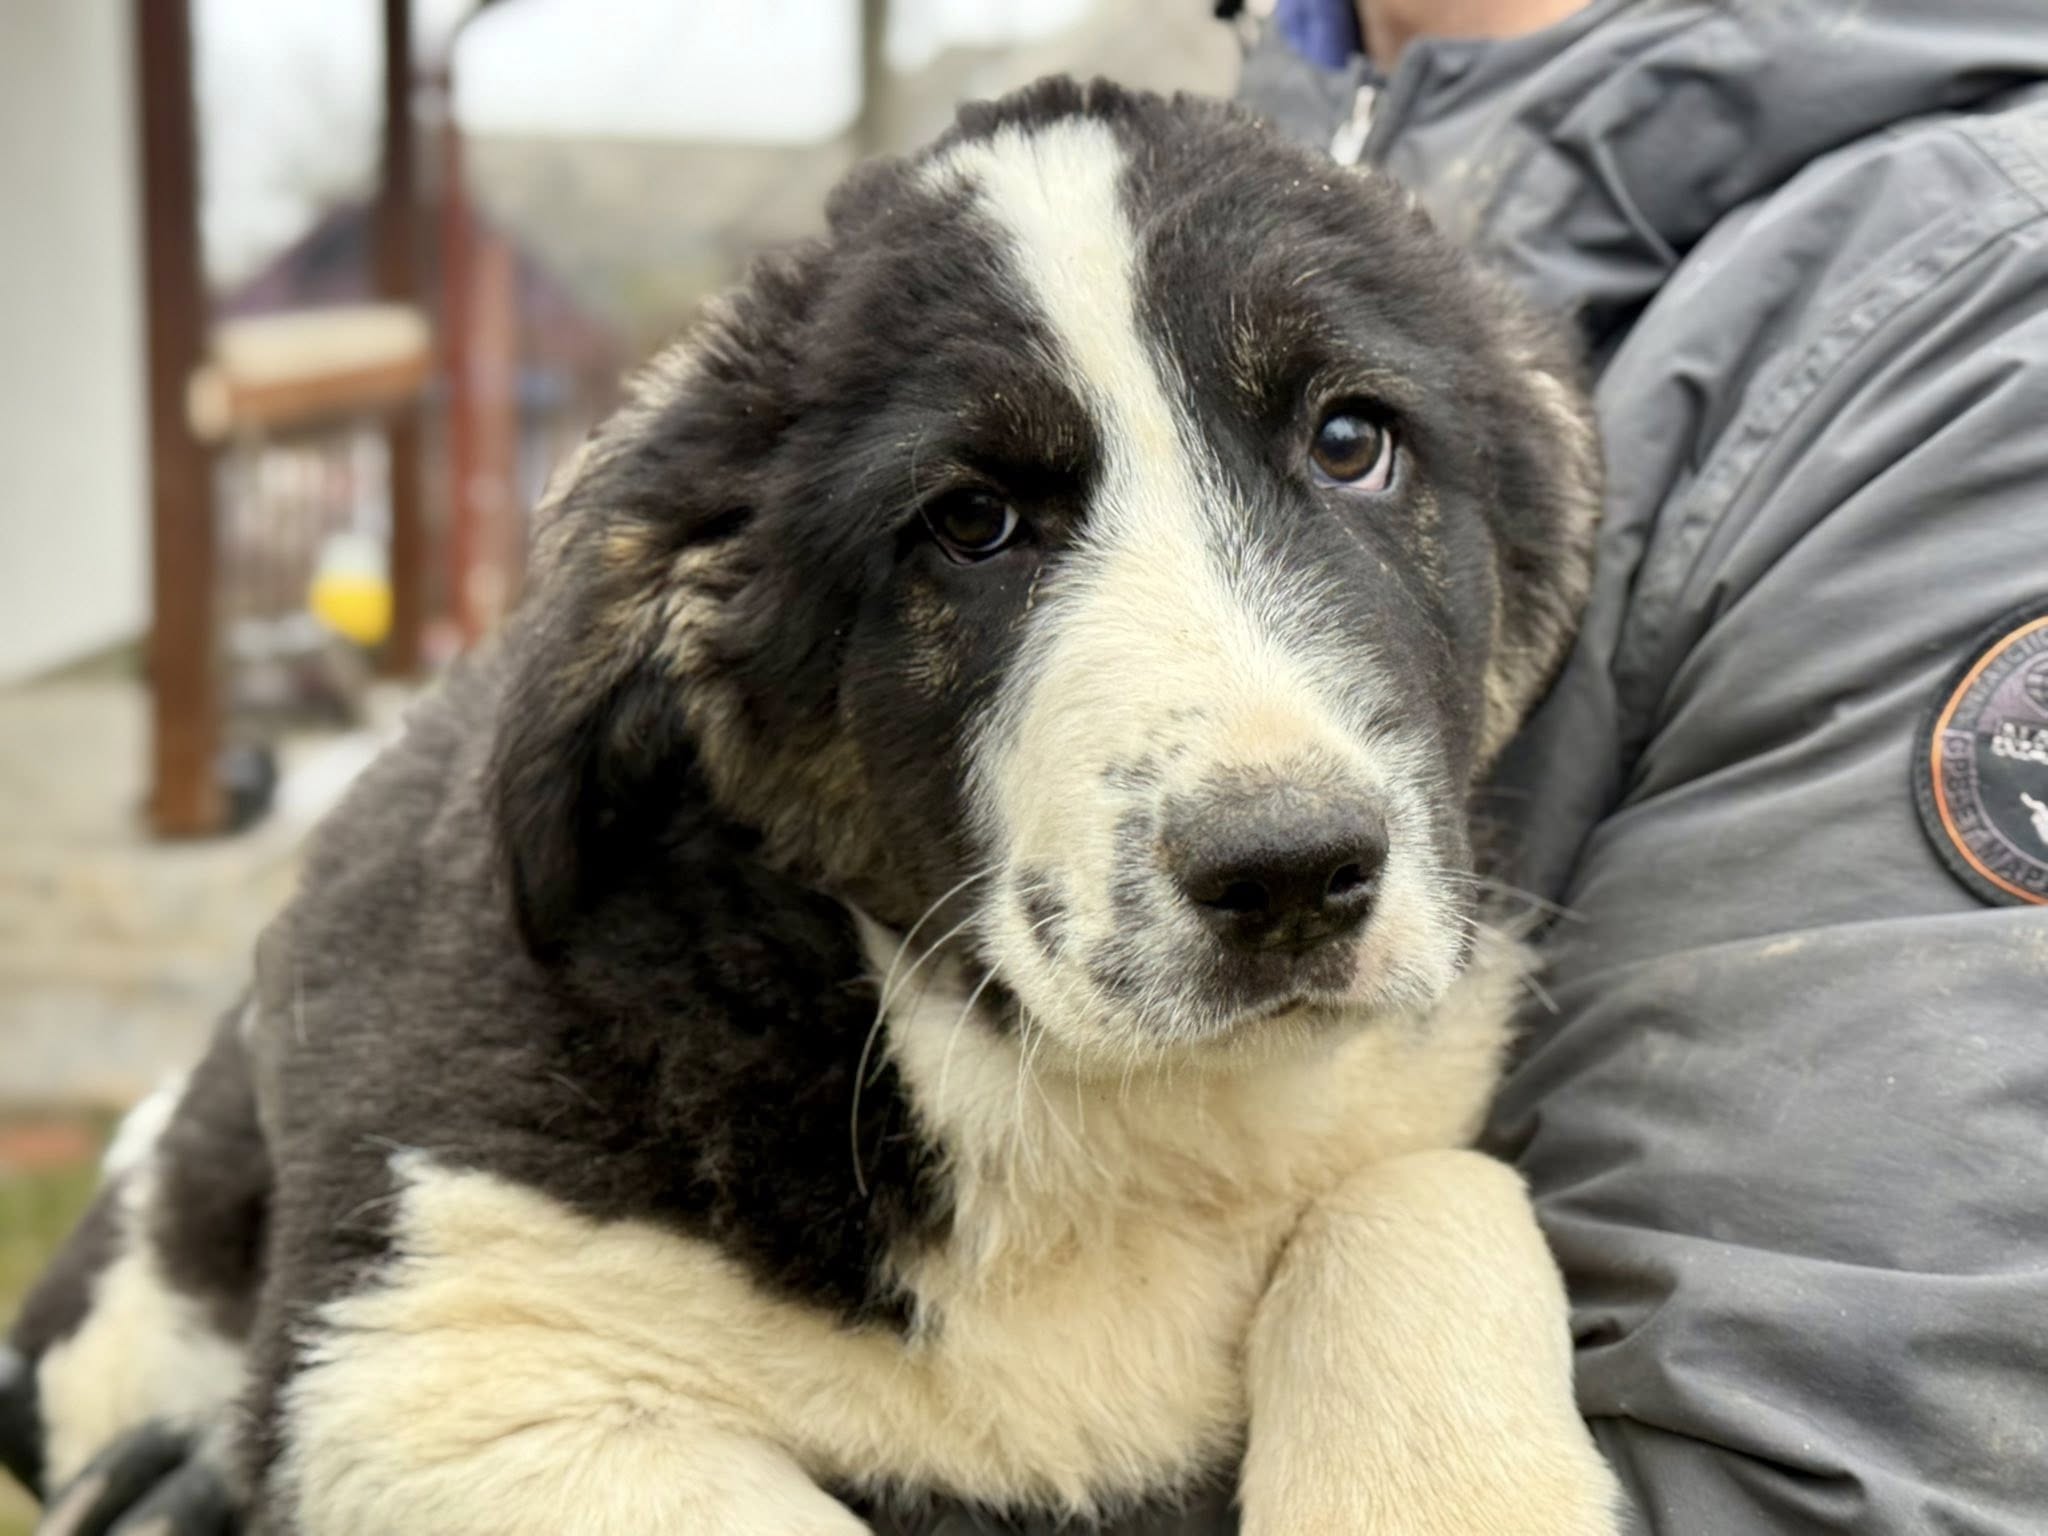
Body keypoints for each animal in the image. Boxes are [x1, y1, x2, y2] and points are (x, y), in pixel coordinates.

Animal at [0, 78, 1615, 1535]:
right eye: (971, 522)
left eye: (1352, 443)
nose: (1285, 873)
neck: (1088, 1112)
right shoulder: (424, 1351)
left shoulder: (1415, 1093)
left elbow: (1426, 1196)